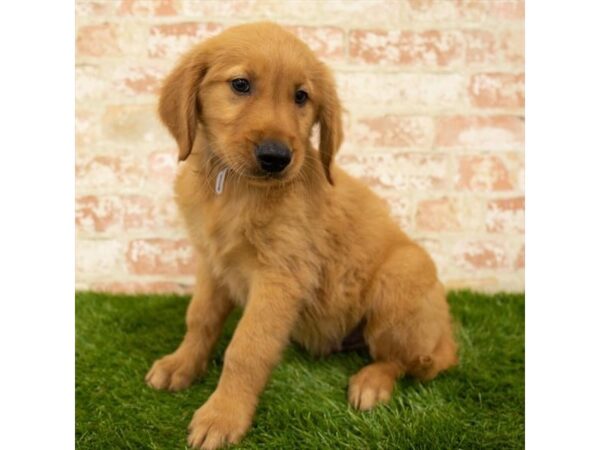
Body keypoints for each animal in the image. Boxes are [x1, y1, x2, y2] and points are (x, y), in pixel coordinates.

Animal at [144, 21, 454, 450]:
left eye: (301, 97)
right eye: (240, 85)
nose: (276, 157)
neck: (236, 190)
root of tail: (447, 339)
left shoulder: (281, 276)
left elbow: (246, 348)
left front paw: (222, 415)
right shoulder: (212, 261)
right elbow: (200, 318)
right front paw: (182, 364)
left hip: (404, 272)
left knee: (400, 360)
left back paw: (371, 383)